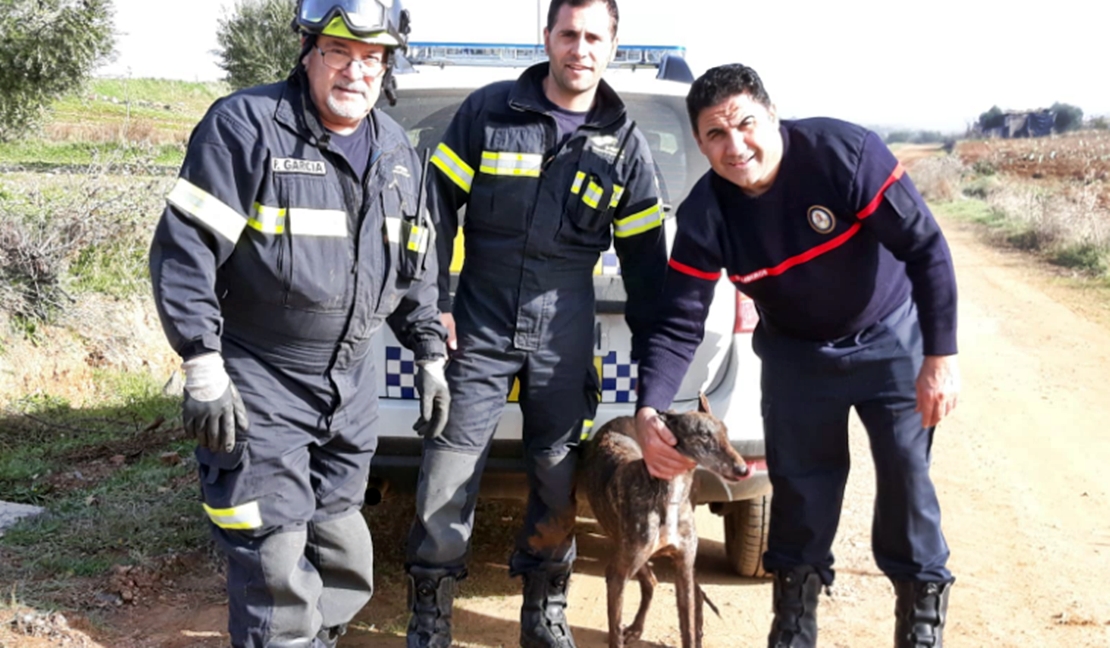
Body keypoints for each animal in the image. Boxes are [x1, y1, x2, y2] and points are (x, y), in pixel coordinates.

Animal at [577, 395, 750, 648]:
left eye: (726, 433)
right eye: (704, 435)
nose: (743, 469)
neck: (669, 495)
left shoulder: (684, 566)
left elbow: (687, 626)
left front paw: (693, 636)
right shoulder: (617, 575)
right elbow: (614, 631)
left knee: (689, 592)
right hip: (630, 552)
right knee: (651, 582)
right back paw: (636, 628)